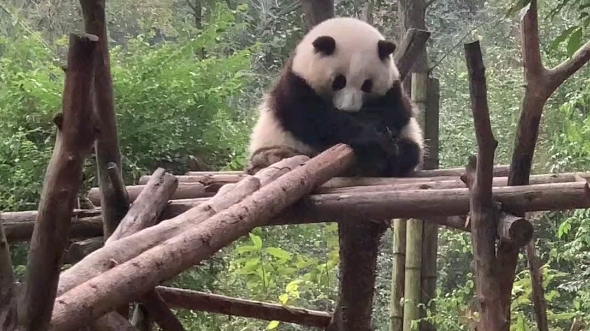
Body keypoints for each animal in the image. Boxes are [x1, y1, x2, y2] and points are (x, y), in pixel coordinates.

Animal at [245, 16, 426, 178]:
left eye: (367, 85)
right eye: (339, 81)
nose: (349, 109)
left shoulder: (393, 90)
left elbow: (395, 113)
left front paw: (381, 141)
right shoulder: (296, 84)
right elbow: (314, 119)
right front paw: (371, 140)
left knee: (410, 151)